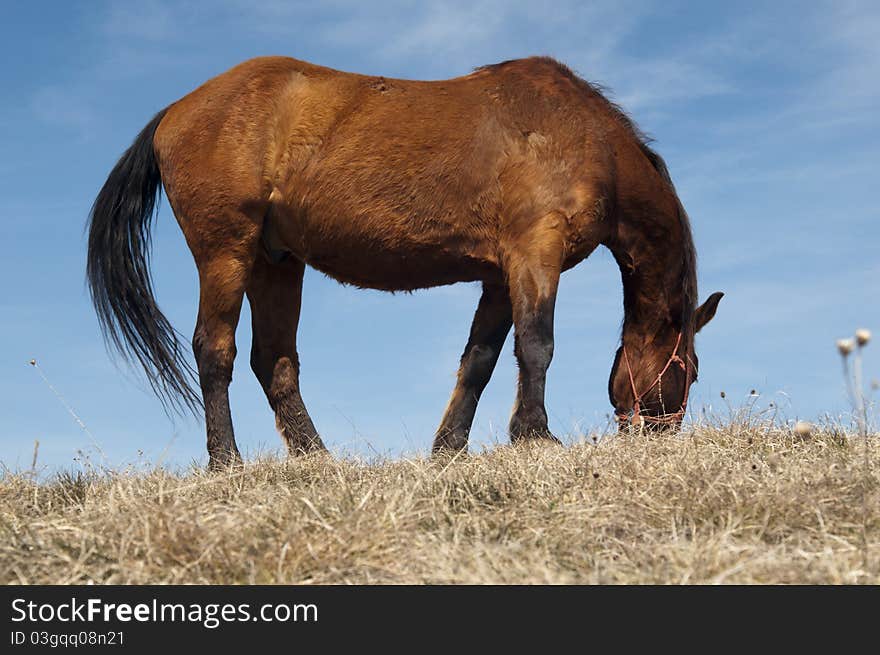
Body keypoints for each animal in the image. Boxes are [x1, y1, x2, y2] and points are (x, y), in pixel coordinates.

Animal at [87, 53, 720, 468]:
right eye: (689, 370)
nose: (660, 438)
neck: (588, 139)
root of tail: (175, 110)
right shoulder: (535, 252)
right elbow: (536, 345)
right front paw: (535, 436)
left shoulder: (499, 276)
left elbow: (480, 361)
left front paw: (449, 449)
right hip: (226, 252)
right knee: (214, 349)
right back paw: (227, 461)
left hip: (276, 262)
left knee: (275, 361)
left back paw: (319, 461)